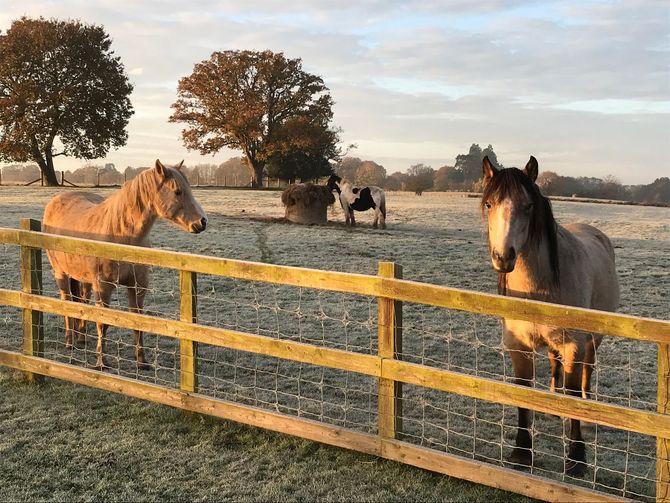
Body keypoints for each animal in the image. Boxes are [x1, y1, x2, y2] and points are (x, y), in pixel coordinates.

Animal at [43, 159, 208, 370]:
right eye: (177, 191)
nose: (202, 222)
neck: (121, 235)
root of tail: (56, 200)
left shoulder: (137, 286)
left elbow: (137, 320)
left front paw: (142, 361)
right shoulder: (104, 287)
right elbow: (103, 323)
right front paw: (101, 362)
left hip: (84, 278)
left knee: (83, 301)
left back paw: (81, 338)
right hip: (61, 273)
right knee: (67, 302)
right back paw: (70, 342)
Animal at [480, 155, 619, 477]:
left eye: (528, 205)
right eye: (490, 204)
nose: (503, 257)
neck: (539, 287)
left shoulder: (574, 345)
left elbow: (573, 395)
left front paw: (577, 459)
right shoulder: (518, 345)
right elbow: (523, 391)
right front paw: (521, 453)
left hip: (592, 340)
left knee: (587, 373)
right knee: (555, 366)